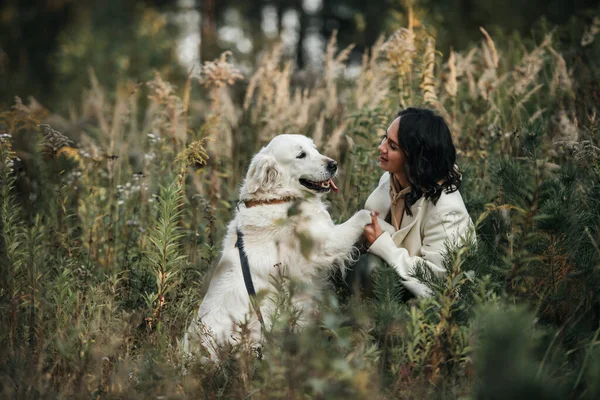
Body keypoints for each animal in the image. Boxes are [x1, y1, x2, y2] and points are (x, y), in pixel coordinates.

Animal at [183, 134, 372, 360]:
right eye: (301, 155)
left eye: (314, 148)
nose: (333, 164)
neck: (277, 199)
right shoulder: (322, 246)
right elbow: (358, 218)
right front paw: (373, 216)